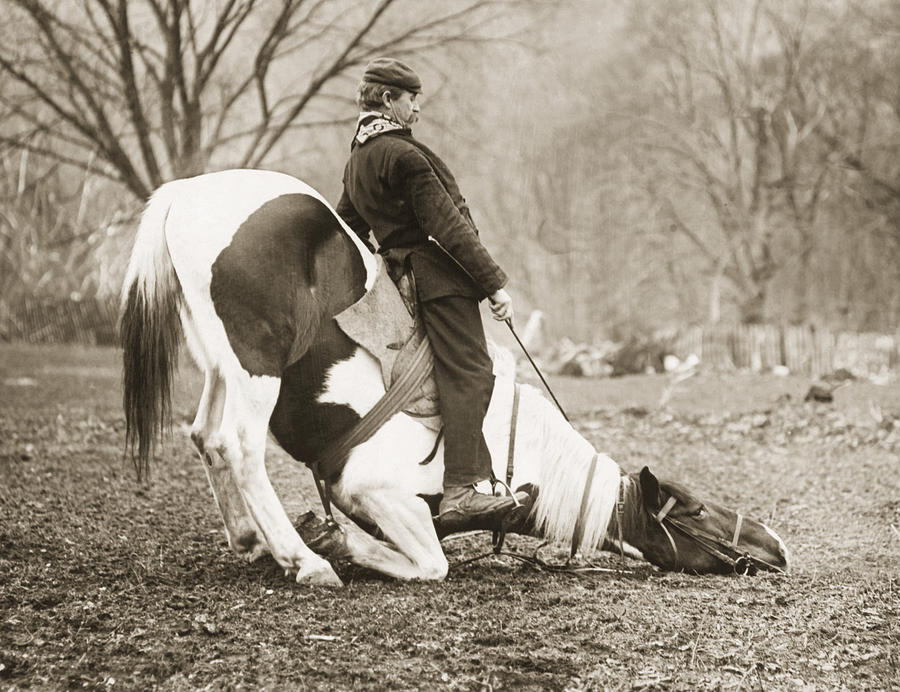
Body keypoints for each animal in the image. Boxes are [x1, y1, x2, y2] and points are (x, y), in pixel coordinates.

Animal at [119, 168, 788, 584]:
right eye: (695, 510)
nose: (776, 544)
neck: (518, 455)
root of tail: (190, 191)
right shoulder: (378, 491)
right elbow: (431, 563)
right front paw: (336, 543)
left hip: (220, 365)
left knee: (206, 437)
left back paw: (253, 541)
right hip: (254, 368)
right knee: (237, 445)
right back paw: (304, 561)